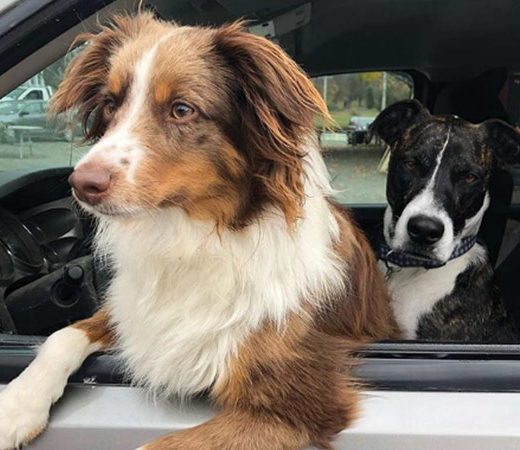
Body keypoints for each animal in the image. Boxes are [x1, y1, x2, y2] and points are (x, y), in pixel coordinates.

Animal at [0, 13, 396, 450]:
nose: (81, 184)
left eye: (182, 109)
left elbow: (149, 446)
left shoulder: (299, 403)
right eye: (110, 104)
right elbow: (63, 335)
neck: (192, 236)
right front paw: (15, 407)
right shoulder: (130, 311)